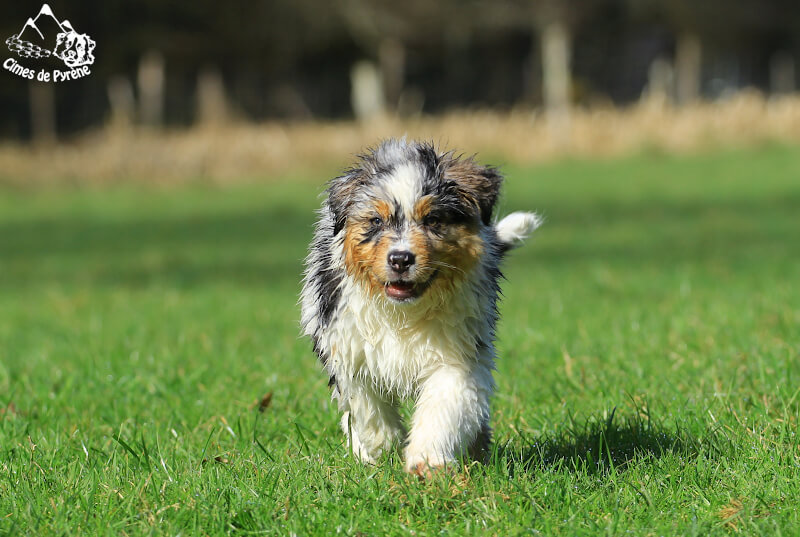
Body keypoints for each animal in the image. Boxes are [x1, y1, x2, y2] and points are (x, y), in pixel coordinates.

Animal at [302, 139, 544, 478]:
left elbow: (443, 407)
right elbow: (367, 407)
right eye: (376, 221)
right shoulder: (349, 349)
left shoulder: (456, 354)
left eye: (433, 220)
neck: (403, 312)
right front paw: (383, 445)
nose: (400, 259)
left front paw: (426, 460)